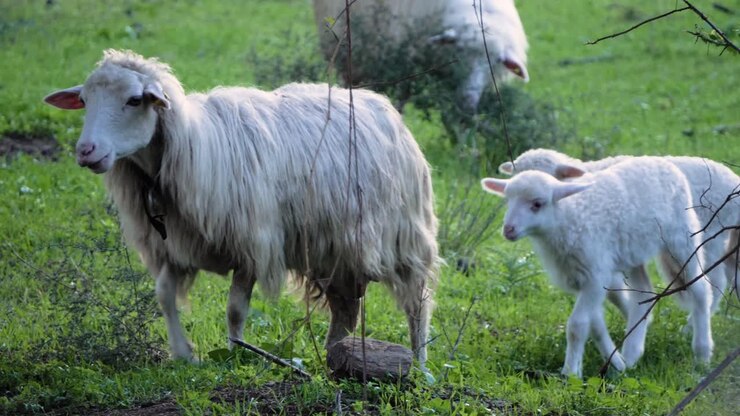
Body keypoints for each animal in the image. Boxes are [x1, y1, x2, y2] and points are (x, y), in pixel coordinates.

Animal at [43, 49, 440, 368]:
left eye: (134, 99)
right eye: (84, 100)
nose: (86, 150)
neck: (192, 144)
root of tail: (378, 102)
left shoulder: (252, 243)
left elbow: (235, 310)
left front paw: (236, 354)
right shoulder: (174, 244)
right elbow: (165, 296)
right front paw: (183, 354)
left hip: (402, 237)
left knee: (417, 303)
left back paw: (418, 365)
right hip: (334, 250)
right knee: (345, 310)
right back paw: (335, 356)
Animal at [482, 157, 714, 377]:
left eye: (537, 204)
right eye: (507, 200)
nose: (508, 230)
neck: (567, 217)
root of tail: (663, 162)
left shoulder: (595, 274)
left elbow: (577, 326)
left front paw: (570, 373)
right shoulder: (579, 276)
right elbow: (595, 327)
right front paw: (616, 363)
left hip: (681, 238)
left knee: (701, 289)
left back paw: (702, 353)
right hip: (634, 250)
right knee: (643, 293)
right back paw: (632, 354)